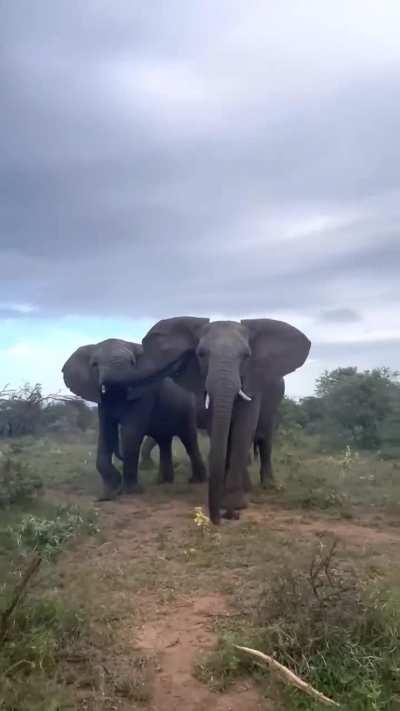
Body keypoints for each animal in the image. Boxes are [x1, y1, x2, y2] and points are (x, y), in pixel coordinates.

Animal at [61, 338, 207, 500]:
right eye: (94, 364)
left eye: (132, 362)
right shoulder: (102, 402)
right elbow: (106, 433)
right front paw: (108, 493)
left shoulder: (144, 395)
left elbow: (131, 433)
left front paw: (130, 492)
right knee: (164, 441)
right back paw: (163, 482)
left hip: (188, 408)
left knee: (189, 440)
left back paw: (195, 481)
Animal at [125, 317, 310, 524]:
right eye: (201, 354)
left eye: (246, 356)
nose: (226, 516)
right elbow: (218, 429)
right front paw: (226, 501)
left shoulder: (252, 382)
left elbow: (243, 429)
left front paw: (236, 504)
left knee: (264, 437)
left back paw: (268, 486)